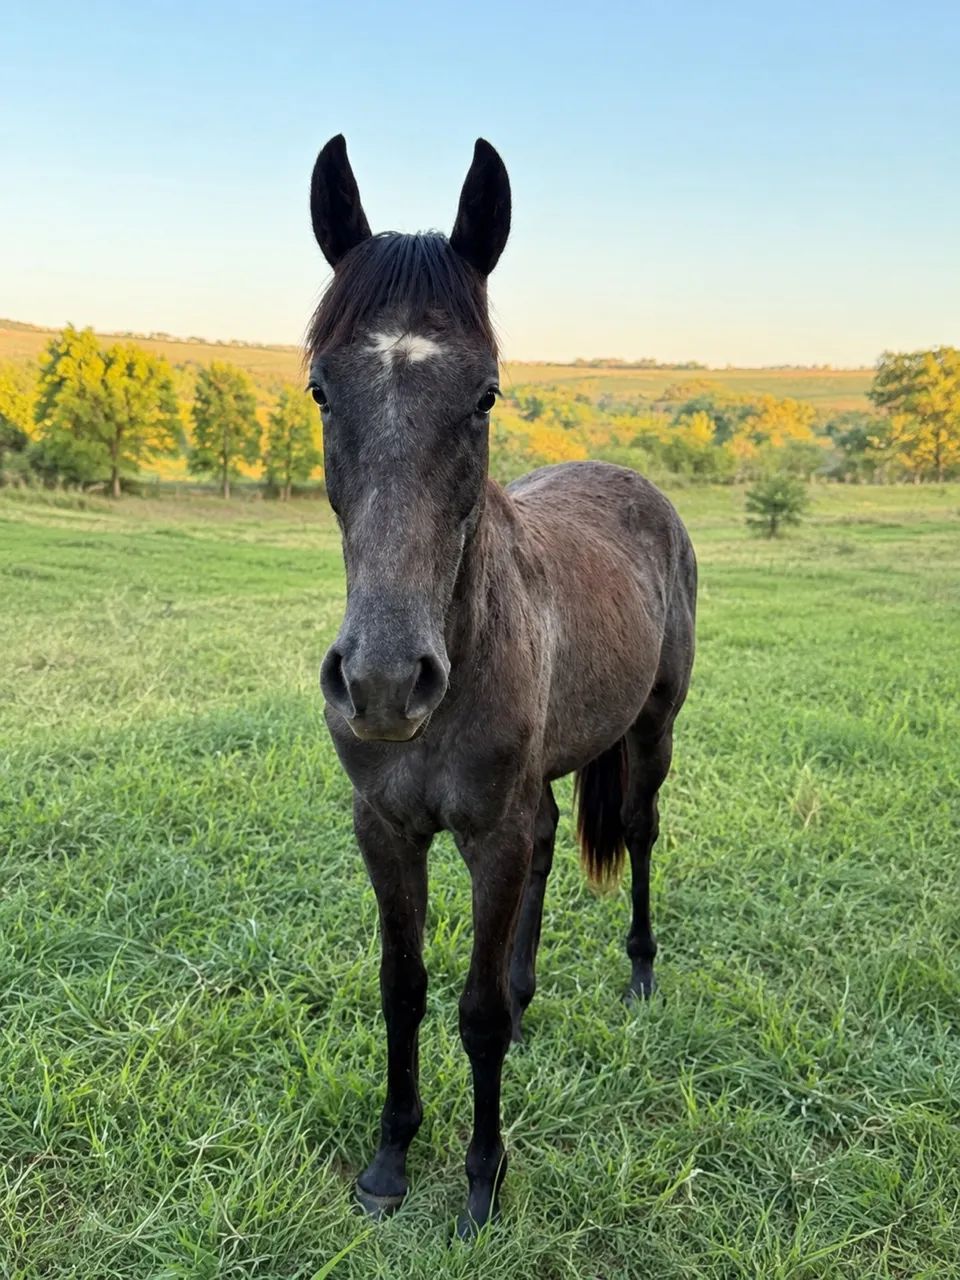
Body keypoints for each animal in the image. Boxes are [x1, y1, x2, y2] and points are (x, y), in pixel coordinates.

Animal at [305, 135, 697, 1237]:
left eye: (485, 393)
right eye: (319, 390)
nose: (384, 682)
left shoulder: (489, 834)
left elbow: (470, 1009)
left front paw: (482, 1177)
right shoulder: (387, 830)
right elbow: (403, 988)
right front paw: (390, 1159)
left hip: (652, 730)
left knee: (637, 835)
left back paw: (640, 973)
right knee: (558, 840)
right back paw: (531, 998)